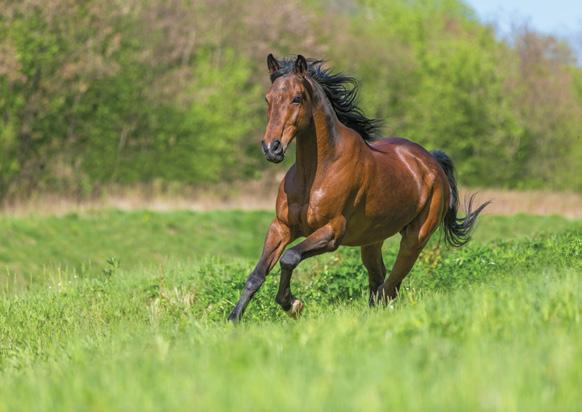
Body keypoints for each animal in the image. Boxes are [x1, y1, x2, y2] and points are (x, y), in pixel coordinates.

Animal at [228, 54, 489, 322]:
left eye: (297, 98)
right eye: (268, 98)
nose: (272, 148)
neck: (315, 174)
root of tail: (432, 162)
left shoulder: (332, 232)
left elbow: (289, 258)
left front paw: (293, 304)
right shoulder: (281, 227)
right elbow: (257, 275)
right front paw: (233, 319)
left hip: (416, 238)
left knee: (391, 285)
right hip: (372, 240)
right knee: (379, 279)